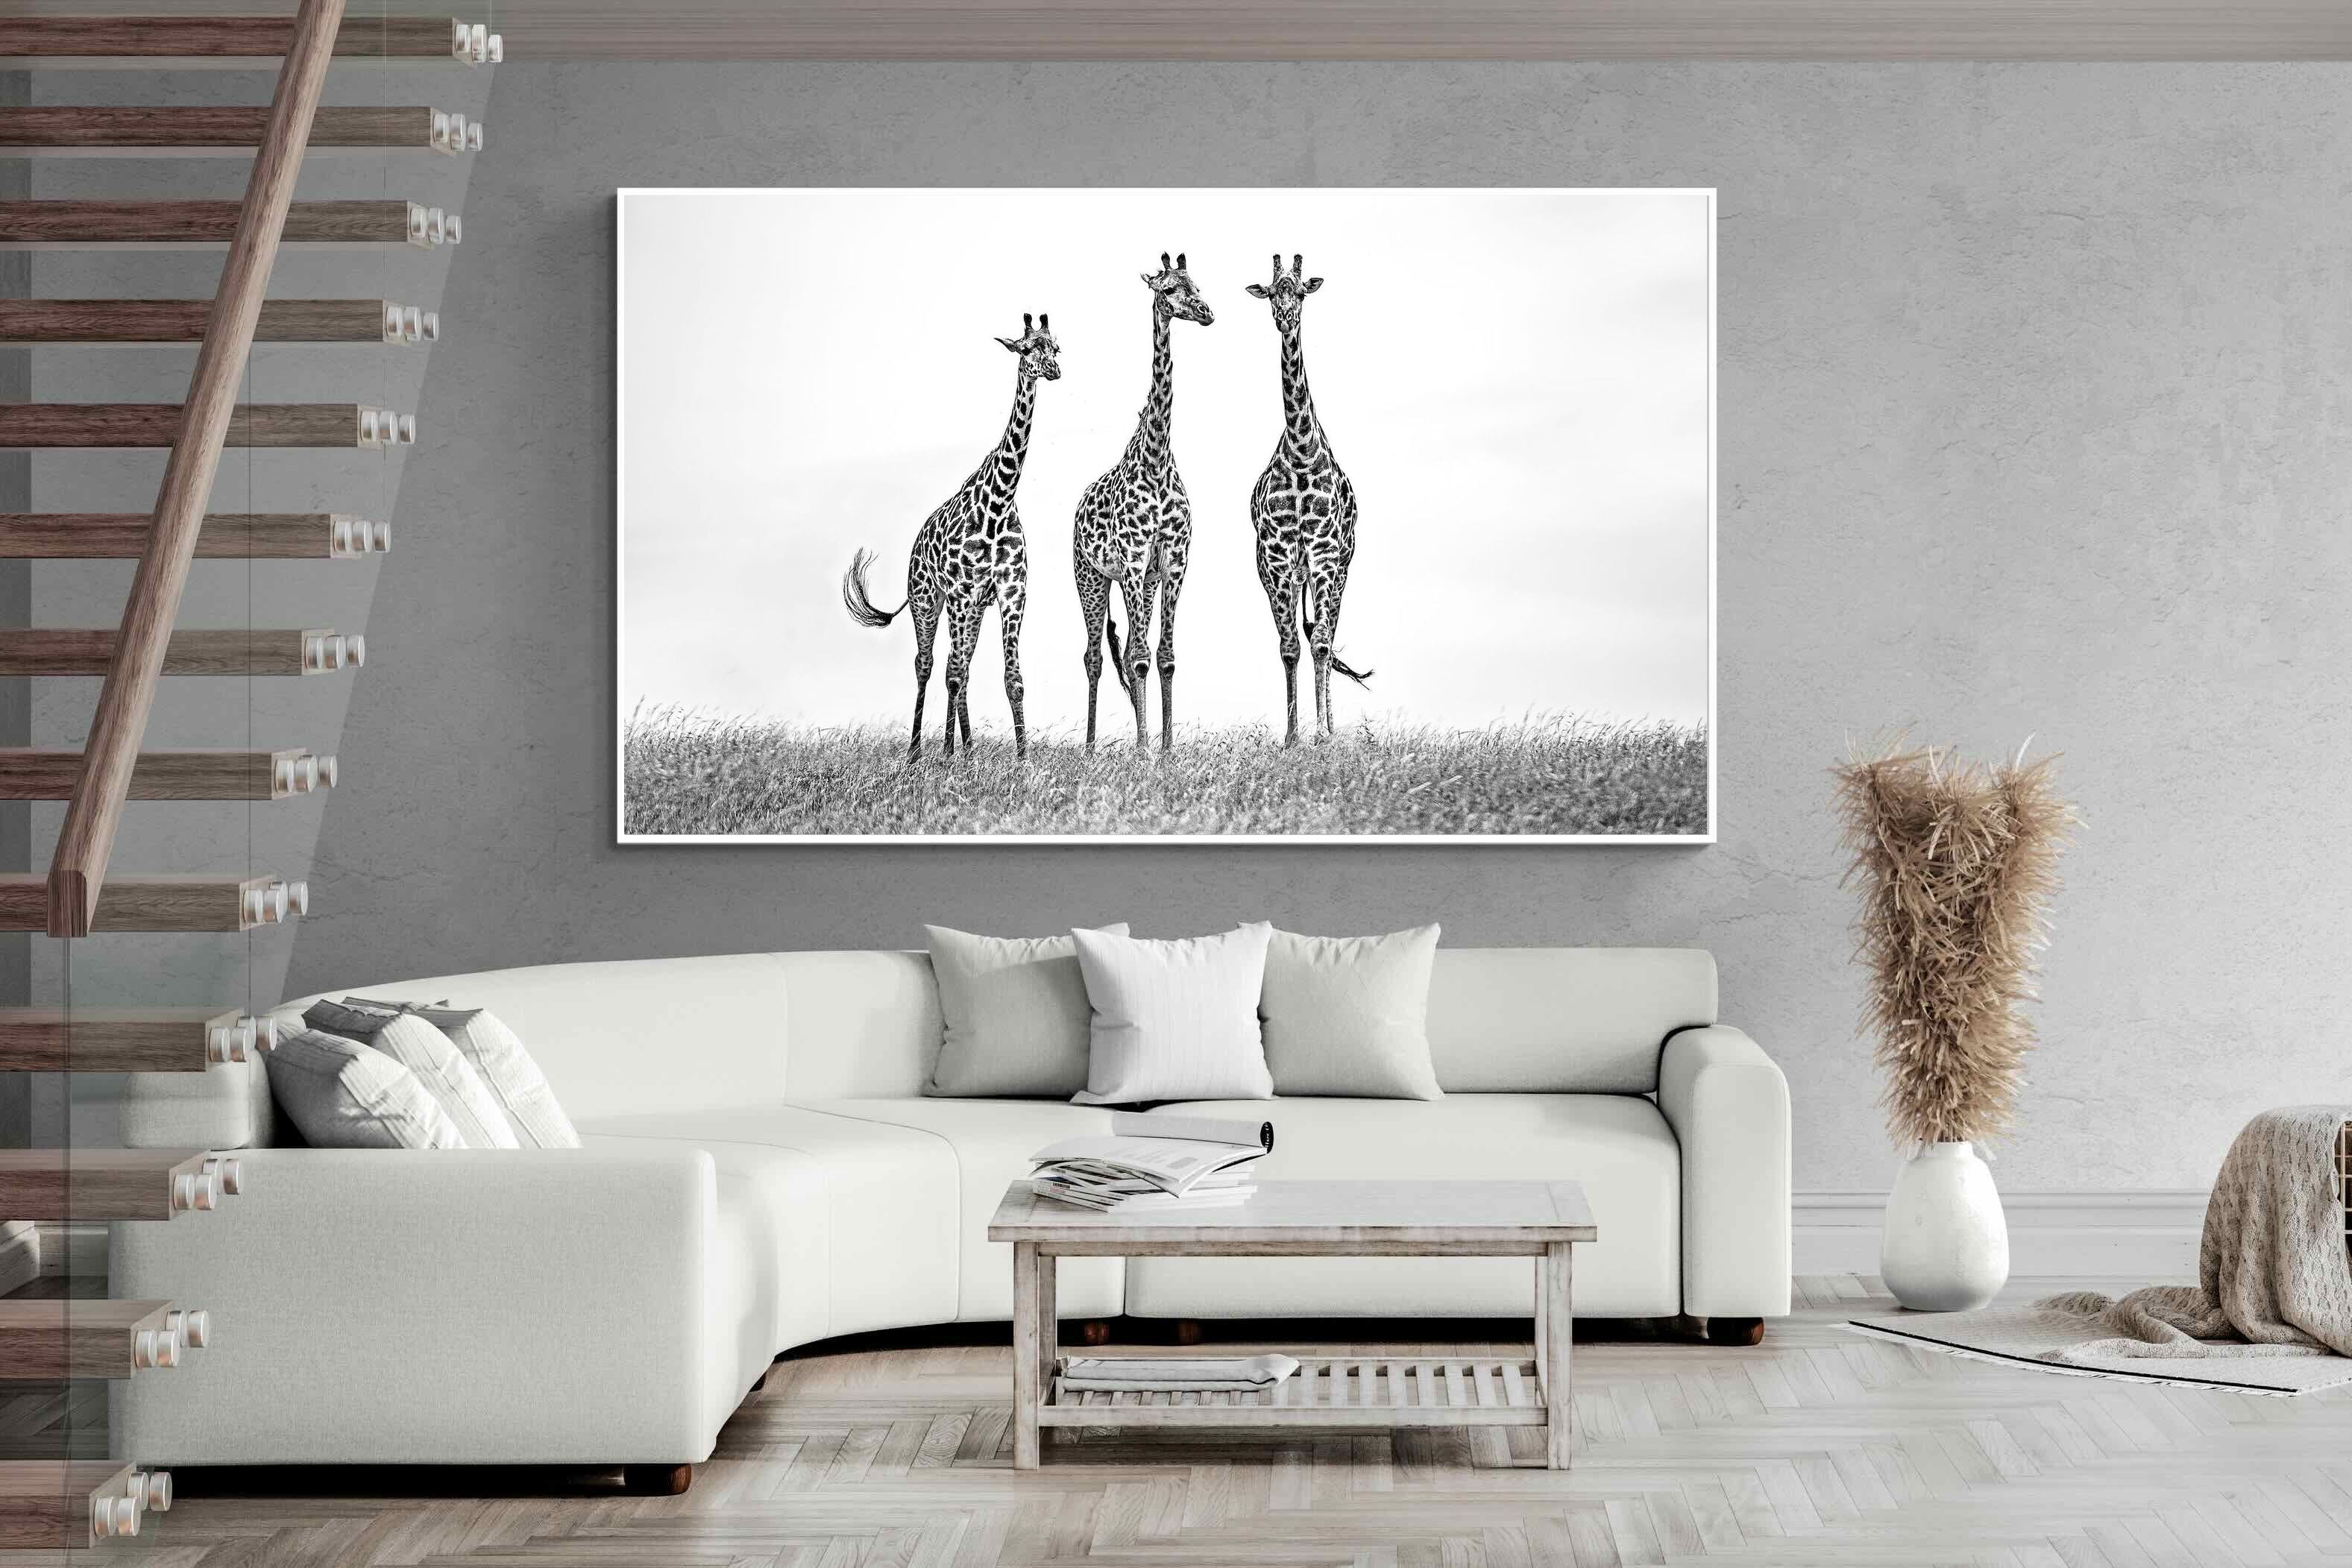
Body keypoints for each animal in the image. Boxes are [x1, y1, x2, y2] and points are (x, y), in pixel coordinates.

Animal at [842, 313, 1060, 761]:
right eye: (1027, 348)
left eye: (1056, 347)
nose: (1053, 370)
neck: (999, 501)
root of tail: (915, 544)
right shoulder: (960, 593)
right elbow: (953, 673)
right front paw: (950, 755)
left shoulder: (1010, 594)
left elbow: (1013, 679)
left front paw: (1023, 760)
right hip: (928, 601)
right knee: (928, 665)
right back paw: (918, 752)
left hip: (972, 609)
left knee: (957, 667)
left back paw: (964, 748)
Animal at [1071, 251, 1214, 750]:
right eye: (1169, 290)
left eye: (1196, 283)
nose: (1206, 312)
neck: (1155, 462)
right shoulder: (1132, 560)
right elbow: (1136, 656)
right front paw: (1144, 749)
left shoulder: (1172, 560)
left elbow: (1164, 655)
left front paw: (1166, 747)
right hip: (1091, 578)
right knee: (1095, 655)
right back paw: (1092, 746)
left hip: (1143, 582)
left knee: (1132, 648)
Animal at [1246, 253, 1370, 746]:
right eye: (1270, 292)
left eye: (1299, 292)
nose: (1285, 317)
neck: (1300, 451)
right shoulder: (1279, 558)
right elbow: (1289, 647)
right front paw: (1292, 736)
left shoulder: (1324, 553)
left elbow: (1319, 643)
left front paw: (1322, 735)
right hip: (1286, 574)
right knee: (1309, 635)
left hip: (1340, 569)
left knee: (1327, 636)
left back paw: (1331, 727)